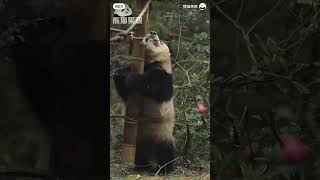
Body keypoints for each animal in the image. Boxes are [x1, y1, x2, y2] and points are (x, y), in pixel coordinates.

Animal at [113, 31, 175, 173]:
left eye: (160, 42)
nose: (153, 33)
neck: (150, 61)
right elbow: (124, 92)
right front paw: (119, 72)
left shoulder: (165, 74)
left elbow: (159, 89)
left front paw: (132, 78)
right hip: (139, 140)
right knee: (139, 153)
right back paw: (142, 167)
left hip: (162, 132)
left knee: (166, 150)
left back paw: (164, 168)